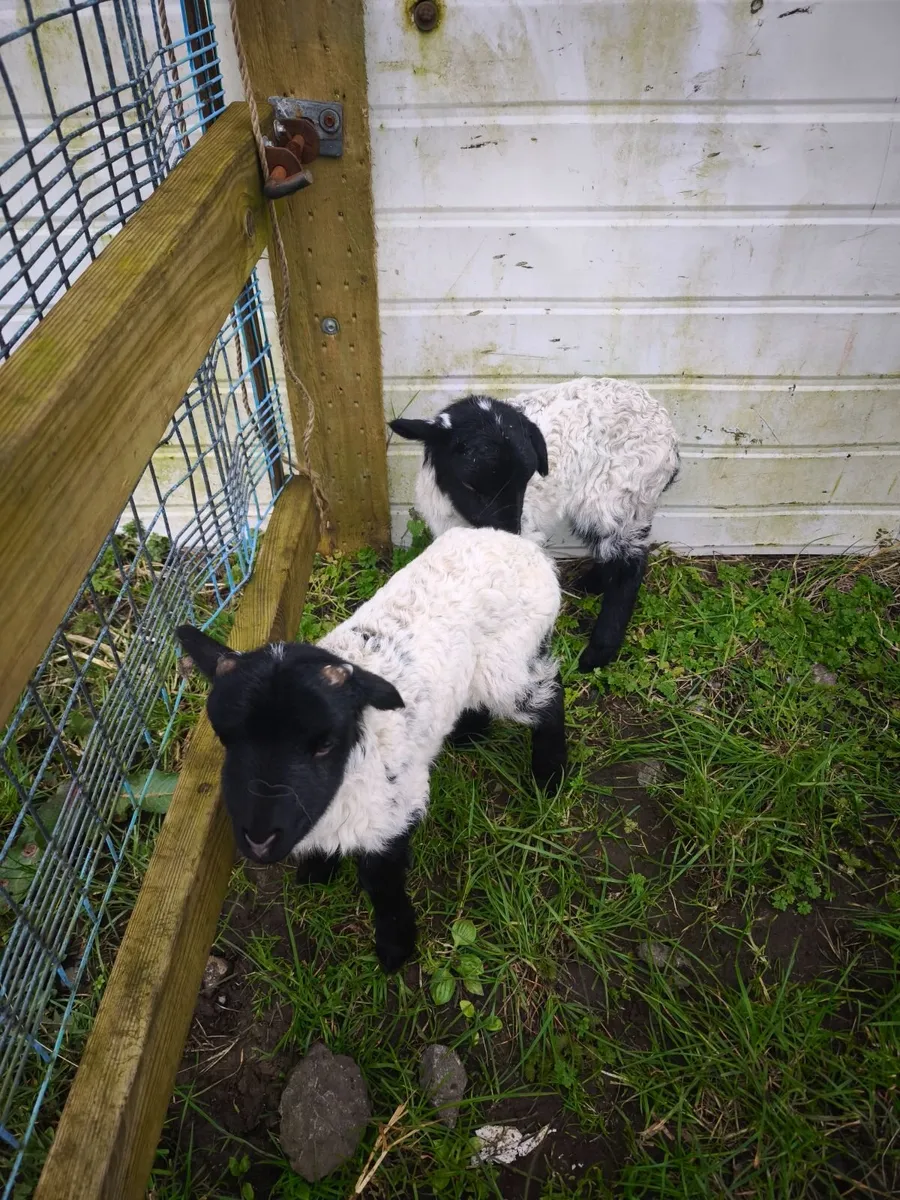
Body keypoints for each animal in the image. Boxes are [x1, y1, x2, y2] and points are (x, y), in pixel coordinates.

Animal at [176, 526, 566, 973]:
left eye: (326, 744)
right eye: (224, 737)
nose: (258, 841)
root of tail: (520, 543)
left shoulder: (396, 809)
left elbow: (381, 881)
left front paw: (396, 945)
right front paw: (317, 871)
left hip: (506, 662)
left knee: (549, 694)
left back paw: (550, 774)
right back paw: (469, 733)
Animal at [390, 376, 680, 673]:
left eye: (526, 479)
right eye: (470, 484)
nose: (509, 532)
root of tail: (670, 439)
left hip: (621, 493)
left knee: (629, 563)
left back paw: (596, 654)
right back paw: (589, 585)